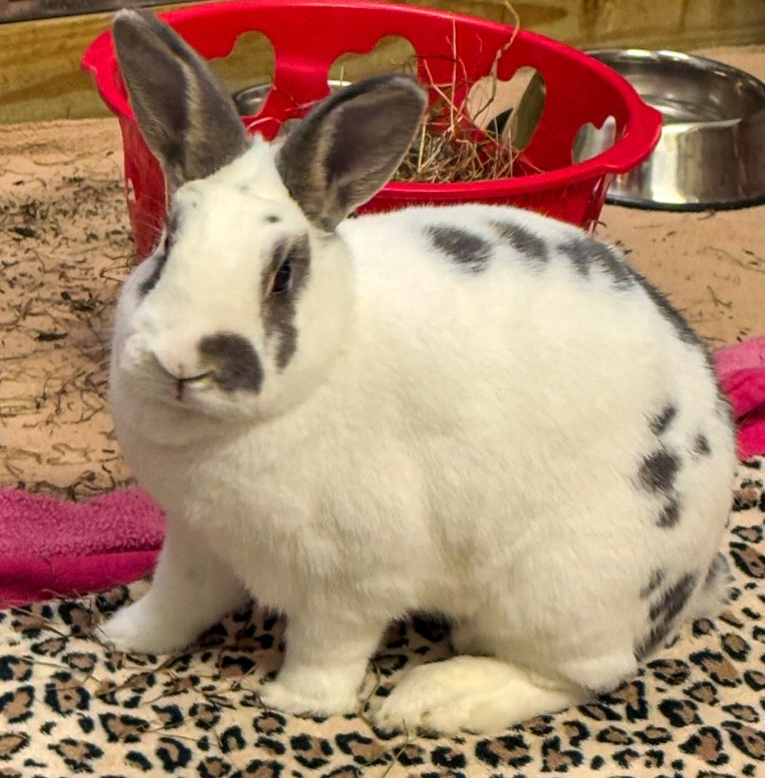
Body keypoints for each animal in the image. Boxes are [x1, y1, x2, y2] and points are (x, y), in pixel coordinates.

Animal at [101, 9, 736, 732]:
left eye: (283, 274)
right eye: (166, 245)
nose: (184, 363)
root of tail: (696, 572)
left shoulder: (352, 579)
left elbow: (329, 647)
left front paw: (296, 703)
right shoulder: (197, 537)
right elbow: (177, 599)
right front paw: (124, 635)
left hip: (560, 593)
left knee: (580, 676)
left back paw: (432, 700)